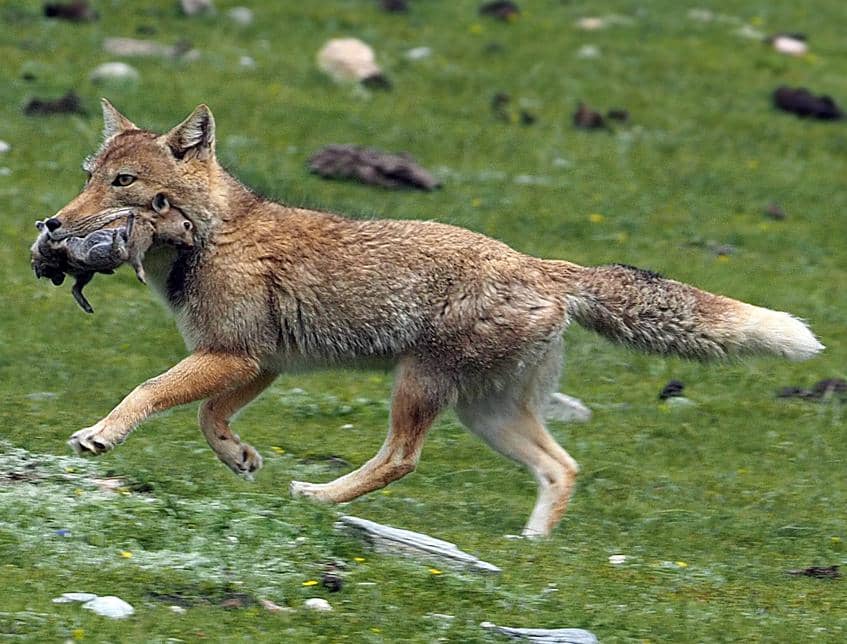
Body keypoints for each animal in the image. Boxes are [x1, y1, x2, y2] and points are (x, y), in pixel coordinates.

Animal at [32, 99, 824, 537]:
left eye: (125, 184)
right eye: (88, 177)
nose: (52, 226)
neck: (213, 233)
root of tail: (543, 266)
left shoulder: (235, 355)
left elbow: (150, 394)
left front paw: (101, 436)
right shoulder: (261, 362)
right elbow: (206, 417)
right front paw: (238, 455)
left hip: (417, 389)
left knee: (400, 460)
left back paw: (319, 496)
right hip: (487, 415)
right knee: (562, 468)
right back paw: (531, 547)